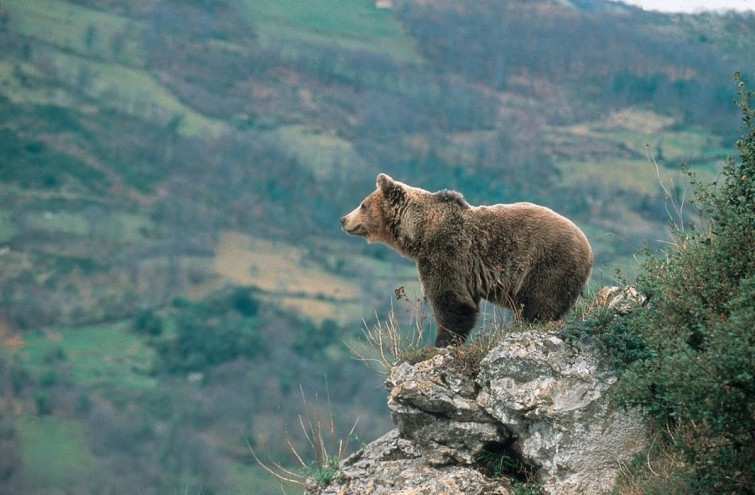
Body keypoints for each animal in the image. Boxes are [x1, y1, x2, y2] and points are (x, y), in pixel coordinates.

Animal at [341, 173, 593, 346]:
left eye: (362, 204)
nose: (343, 219)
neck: (420, 232)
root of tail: (588, 248)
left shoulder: (446, 253)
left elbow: (451, 299)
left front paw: (440, 343)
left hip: (547, 264)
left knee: (539, 304)